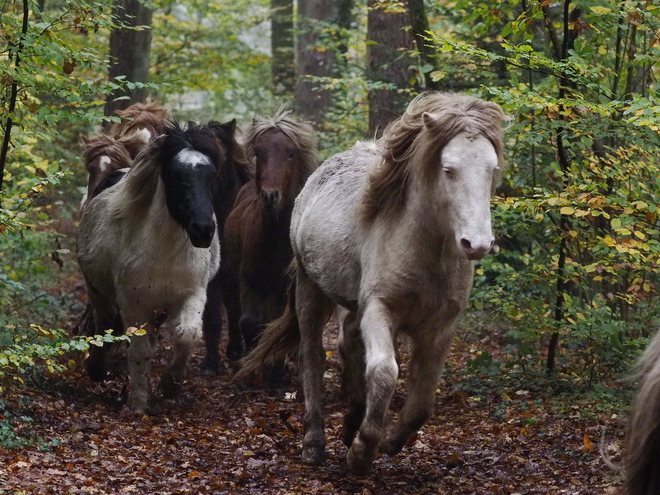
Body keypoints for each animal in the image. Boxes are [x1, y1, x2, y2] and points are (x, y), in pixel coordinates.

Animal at [77, 122, 237, 416]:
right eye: (175, 174)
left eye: (212, 175)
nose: (203, 230)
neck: (165, 254)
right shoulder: (133, 303)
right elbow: (139, 350)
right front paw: (138, 403)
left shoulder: (193, 294)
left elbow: (187, 334)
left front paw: (170, 384)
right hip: (99, 292)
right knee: (104, 321)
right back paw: (96, 369)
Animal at [201, 110, 318, 380]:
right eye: (258, 152)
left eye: (291, 153)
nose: (270, 196)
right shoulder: (246, 282)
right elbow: (247, 322)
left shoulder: (284, 291)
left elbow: (277, 327)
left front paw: (275, 376)